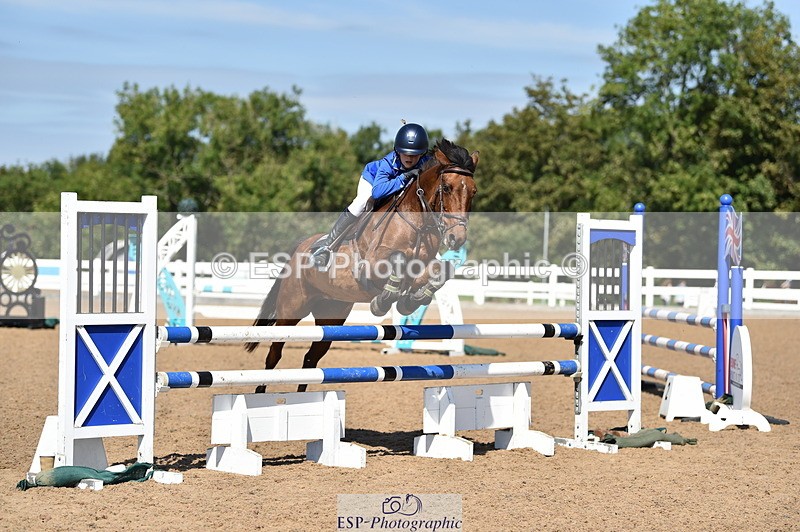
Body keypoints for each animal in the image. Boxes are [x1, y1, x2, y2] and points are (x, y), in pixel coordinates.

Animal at [244, 138, 479, 391]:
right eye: (446, 188)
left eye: (473, 191)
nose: (457, 238)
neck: (416, 224)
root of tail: (300, 247)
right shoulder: (373, 265)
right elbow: (398, 262)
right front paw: (383, 302)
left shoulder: (423, 266)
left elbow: (440, 270)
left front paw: (412, 300)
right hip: (291, 310)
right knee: (274, 354)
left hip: (331, 315)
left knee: (311, 359)